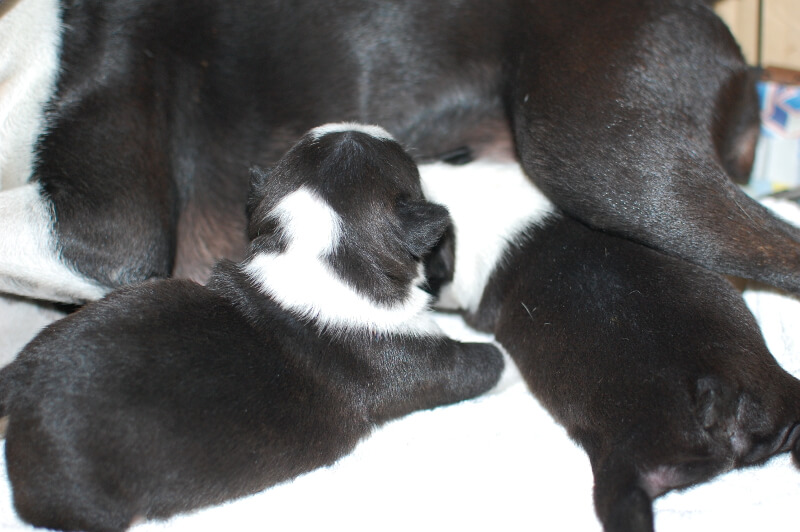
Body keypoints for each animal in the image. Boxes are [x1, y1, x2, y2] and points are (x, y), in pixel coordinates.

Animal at [0, 125, 504, 532]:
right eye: (404, 157)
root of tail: (21, 392)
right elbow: (475, 362)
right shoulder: (416, 358)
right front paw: (496, 355)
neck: (324, 256)